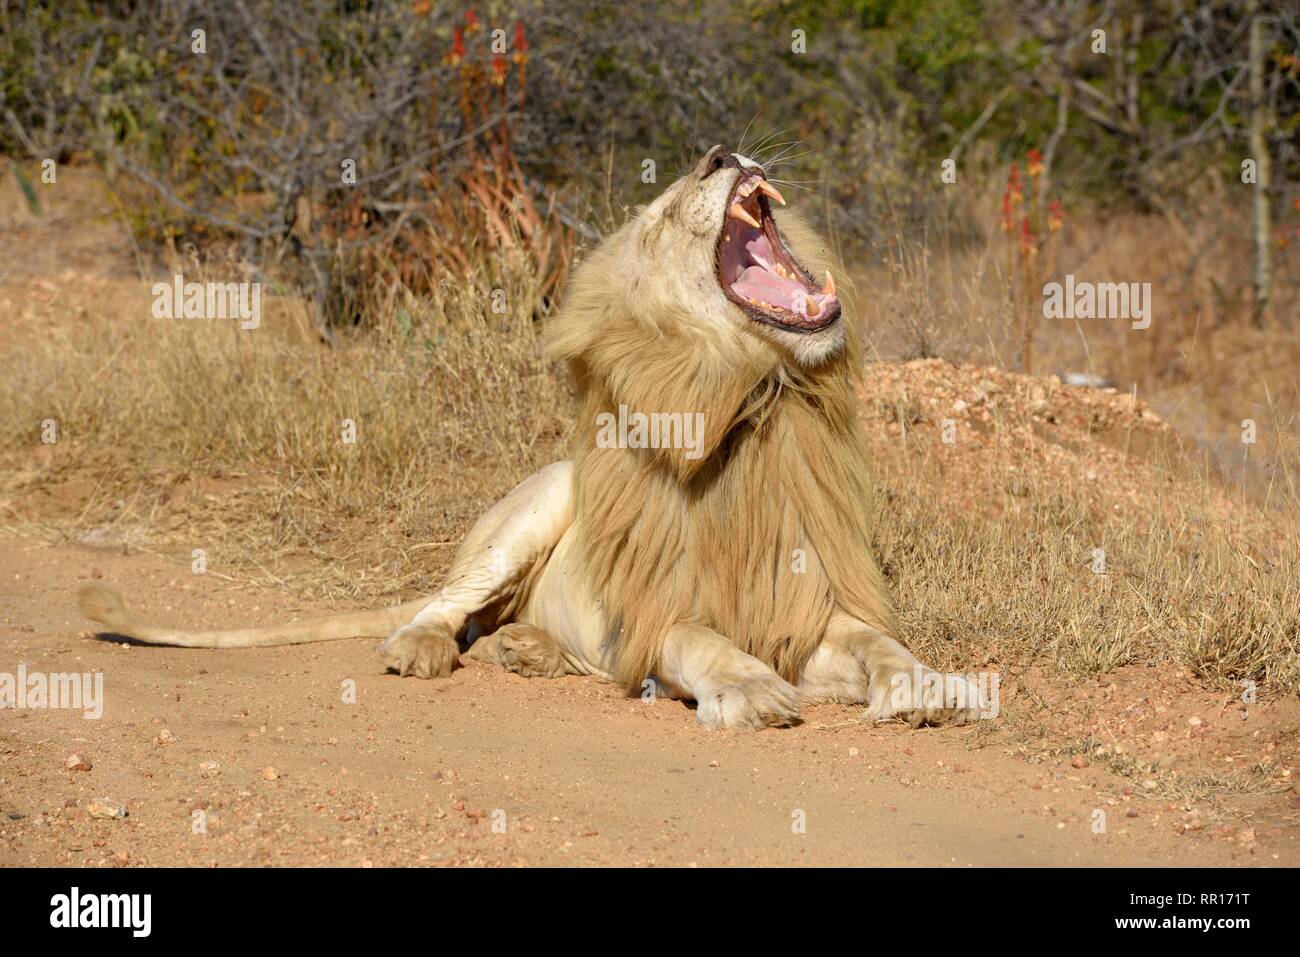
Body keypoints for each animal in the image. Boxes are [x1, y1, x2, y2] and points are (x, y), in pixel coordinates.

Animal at [78, 147, 982, 733]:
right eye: (659, 217)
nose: (721, 153)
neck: (749, 402)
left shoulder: (807, 609)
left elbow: (880, 642)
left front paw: (930, 686)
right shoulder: (654, 616)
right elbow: (698, 639)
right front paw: (751, 693)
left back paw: (529, 650)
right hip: (535, 504)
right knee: (444, 607)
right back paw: (420, 650)